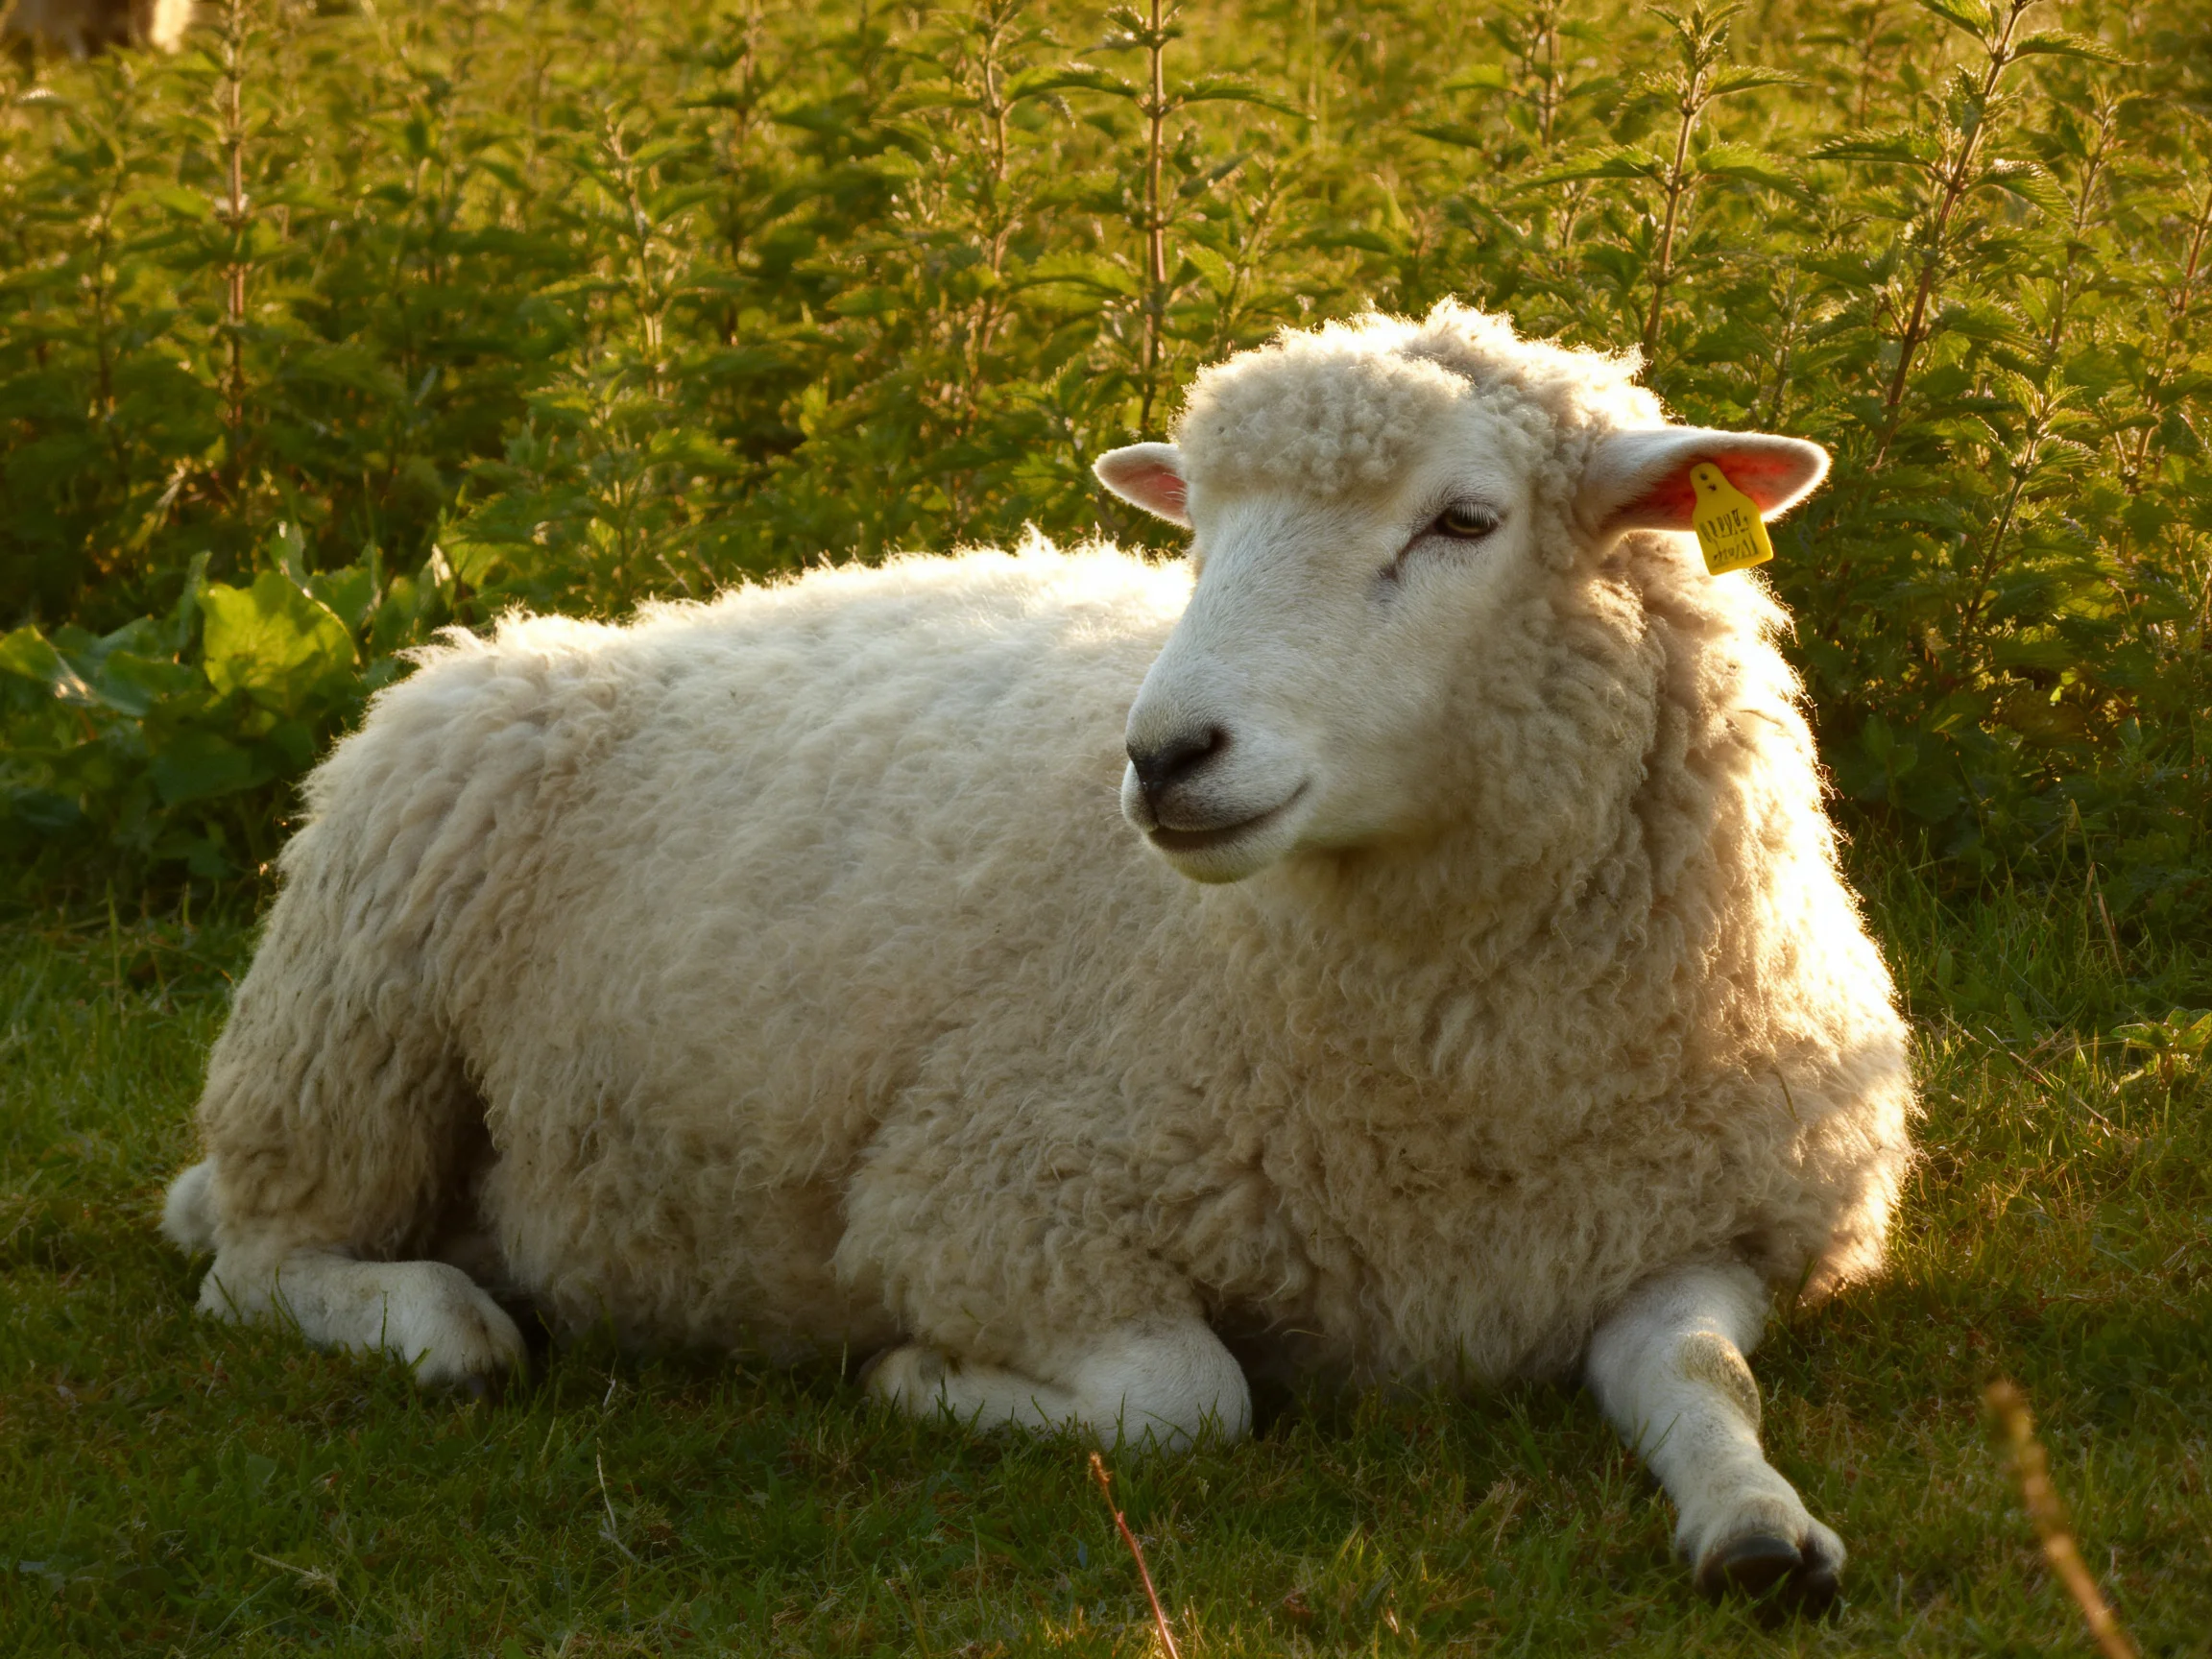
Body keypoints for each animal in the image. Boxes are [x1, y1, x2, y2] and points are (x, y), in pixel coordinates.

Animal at [163, 301, 1913, 1612]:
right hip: (352, 1027)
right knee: (259, 1256)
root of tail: (586, 629)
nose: (1164, 755)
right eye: (1196, 538)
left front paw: (1759, 1528)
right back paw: (440, 1326)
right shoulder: (994, 1206)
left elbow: (1700, 1376)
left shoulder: (1704, 1230)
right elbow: (1185, 1402)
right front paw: (911, 1378)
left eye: (1464, 520)